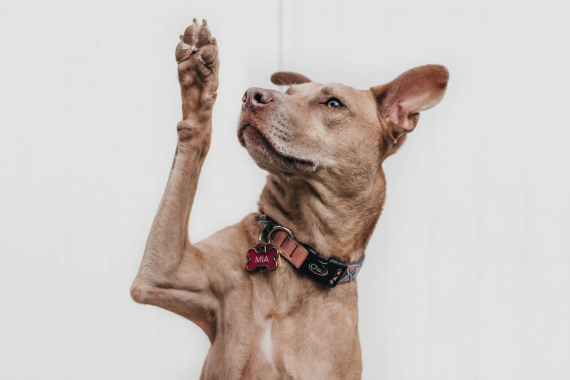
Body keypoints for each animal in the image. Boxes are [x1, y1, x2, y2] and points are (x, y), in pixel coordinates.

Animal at [130, 20, 448, 380]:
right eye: (290, 92)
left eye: (333, 103)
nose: (251, 95)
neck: (300, 247)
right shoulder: (162, 273)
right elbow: (192, 142)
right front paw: (198, 83)